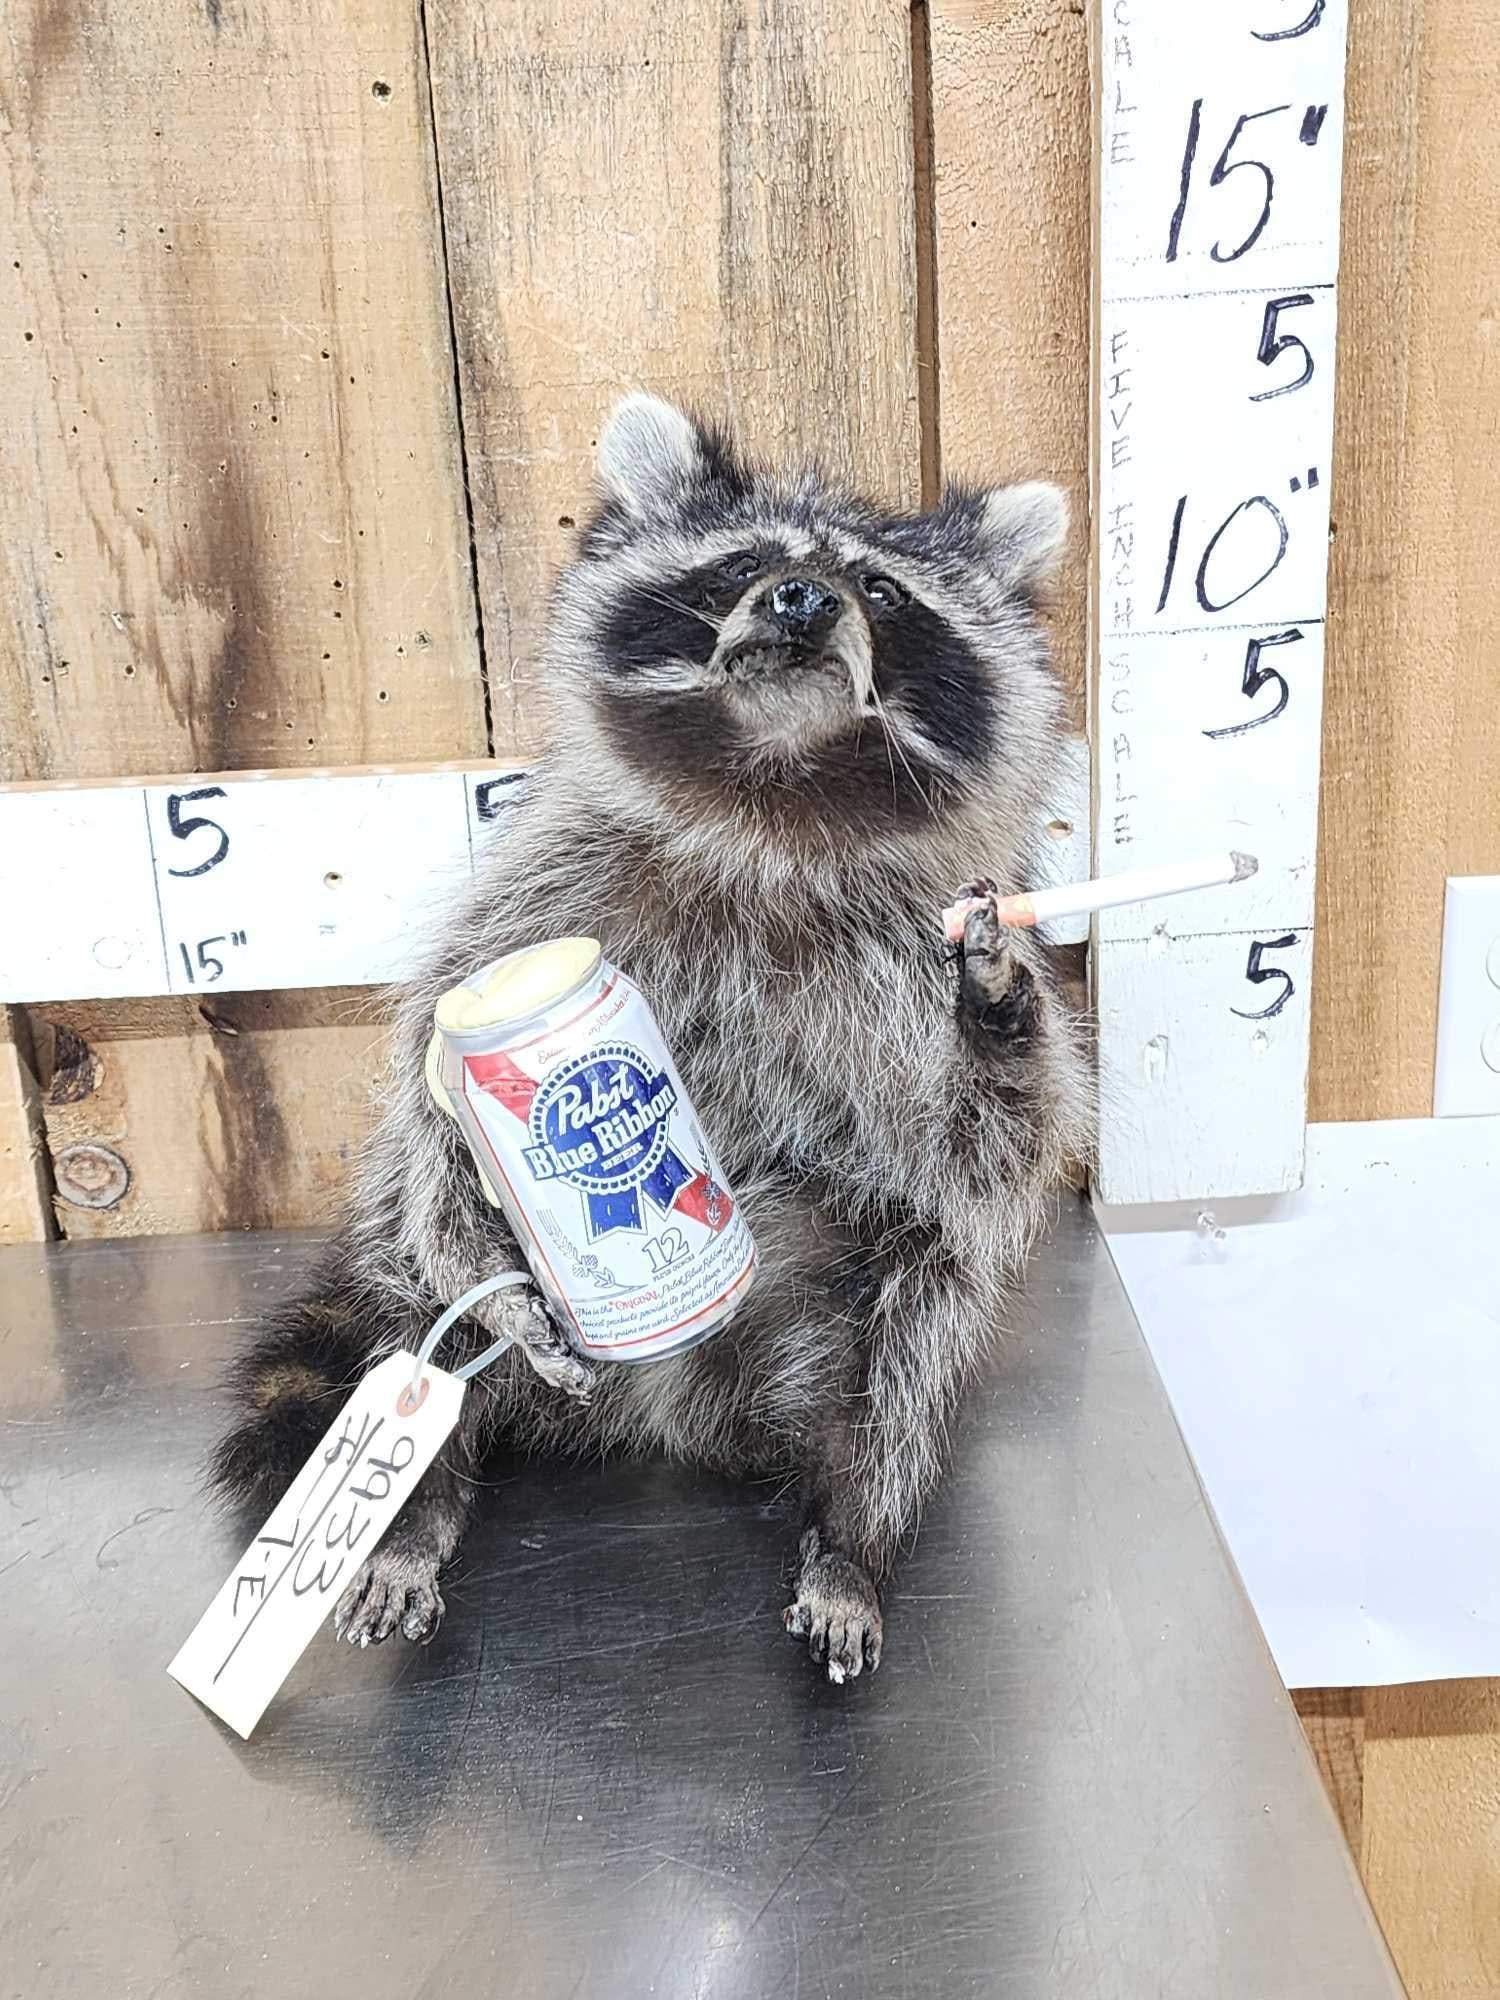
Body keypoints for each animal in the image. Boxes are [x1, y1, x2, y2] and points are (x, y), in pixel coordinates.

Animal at [212, 394, 1094, 1682]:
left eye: (882, 591)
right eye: (740, 566)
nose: (802, 600)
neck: (774, 798)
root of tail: (662, 1410)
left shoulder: (901, 960)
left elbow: (989, 1149)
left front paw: (1000, 997)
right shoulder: (526, 909)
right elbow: (431, 1110)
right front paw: (487, 1233)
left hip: (838, 1303)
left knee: (906, 1346)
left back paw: (852, 1534)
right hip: (401, 1289)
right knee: (411, 1323)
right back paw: (419, 1511)